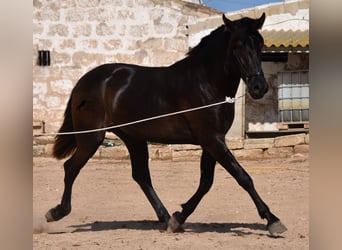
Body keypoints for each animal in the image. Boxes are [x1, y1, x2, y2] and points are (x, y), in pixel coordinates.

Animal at [44, 13, 286, 236]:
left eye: (259, 43)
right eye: (237, 46)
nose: (259, 87)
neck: (205, 82)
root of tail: (83, 82)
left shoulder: (212, 141)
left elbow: (206, 182)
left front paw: (179, 218)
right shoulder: (212, 140)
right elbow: (243, 177)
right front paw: (273, 220)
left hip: (133, 138)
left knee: (141, 176)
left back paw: (165, 216)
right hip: (92, 137)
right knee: (71, 168)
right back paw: (57, 212)